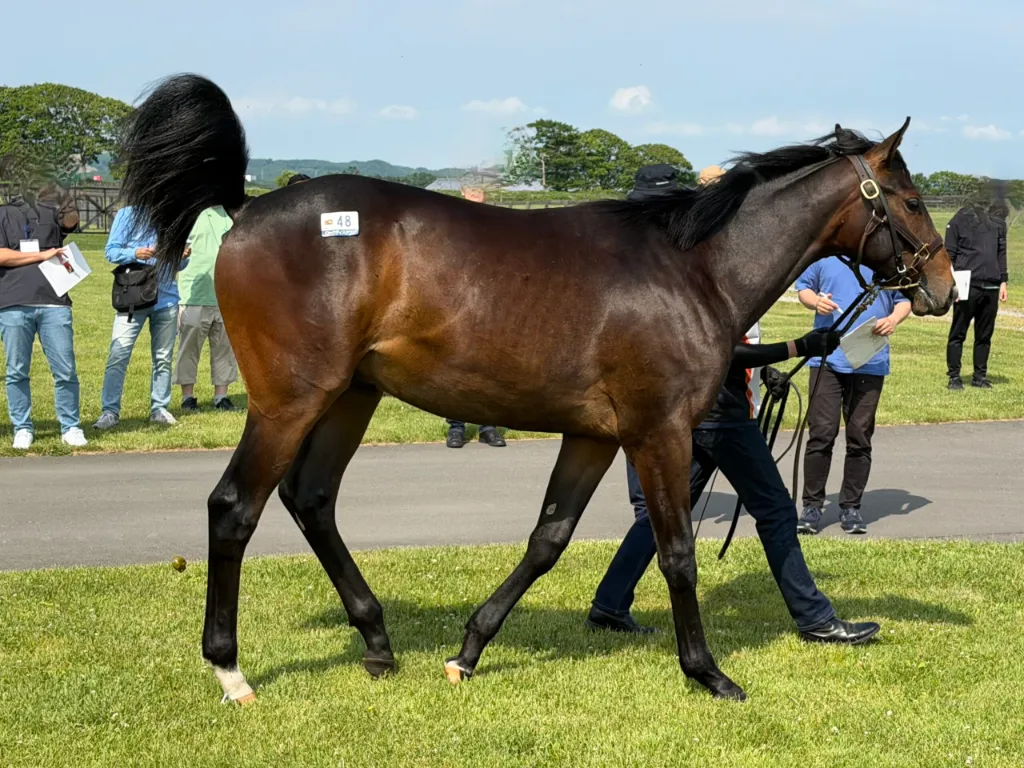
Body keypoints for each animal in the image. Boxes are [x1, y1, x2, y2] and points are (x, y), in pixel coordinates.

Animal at [118, 73, 955, 704]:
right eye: (912, 201)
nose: (944, 287)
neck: (690, 266)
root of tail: (248, 206)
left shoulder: (593, 435)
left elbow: (549, 539)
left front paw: (469, 649)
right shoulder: (657, 430)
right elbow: (677, 550)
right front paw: (708, 673)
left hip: (352, 396)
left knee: (311, 499)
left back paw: (378, 640)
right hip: (290, 400)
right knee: (235, 508)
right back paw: (230, 669)